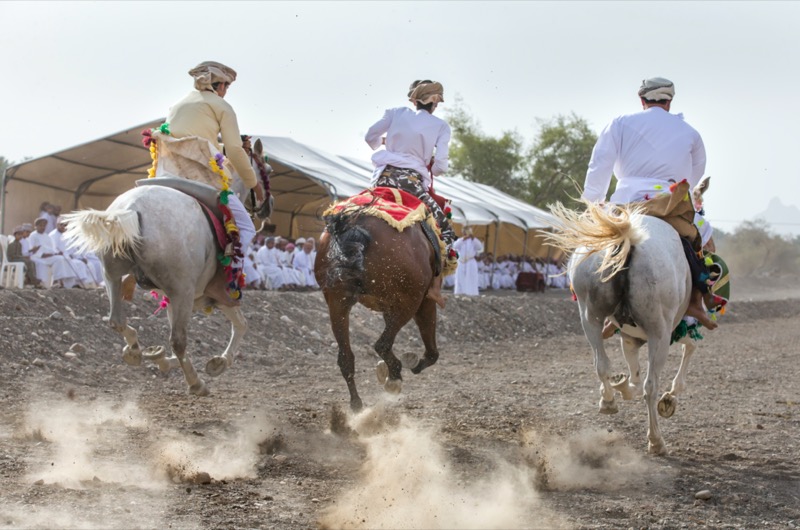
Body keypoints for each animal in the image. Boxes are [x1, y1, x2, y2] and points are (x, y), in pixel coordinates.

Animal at [314, 202, 440, 408]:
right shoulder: (426, 299)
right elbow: (431, 352)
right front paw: (412, 365)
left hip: (337, 302)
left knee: (346, 357)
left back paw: (357, 403)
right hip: (409, 302)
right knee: (382, 344)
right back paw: (395, 377)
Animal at [548, 200, 696, 452]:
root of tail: (626, 240)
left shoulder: (629, 338)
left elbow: (631, 378)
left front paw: (621, 387)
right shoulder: (674, 328)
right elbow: (690, 347)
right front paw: (670, 397)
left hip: (590, 317)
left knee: (601, 364)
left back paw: (608, 401)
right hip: (659, 333)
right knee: (650, 386)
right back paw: (656, 440)